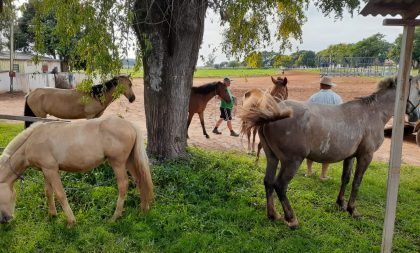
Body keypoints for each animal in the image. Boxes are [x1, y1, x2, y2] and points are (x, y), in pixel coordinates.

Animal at [0, 115, 153, 224]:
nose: (4, 220)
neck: (32, 141)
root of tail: (130, 124)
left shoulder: (51, 170)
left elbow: (60, 194)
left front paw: (71, 222)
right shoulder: (46, 170)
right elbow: (48, 192)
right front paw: (52, 215)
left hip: (118, 163)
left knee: (123, 185)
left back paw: (115, 217)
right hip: (129, 161)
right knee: (140, 180)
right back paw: (143, 209)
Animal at [241, 76, 418, 228]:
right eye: (419, 89)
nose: (416, 118)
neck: (373, 112)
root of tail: (272, 114)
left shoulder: (350, 156)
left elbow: (345, 178)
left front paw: (340, 204)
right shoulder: (365, 156)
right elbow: (357, 182)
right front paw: (352, 210)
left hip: (272, 158)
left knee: (268, 182)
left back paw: (273, 215)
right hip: (292, 161)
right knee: (280, 185)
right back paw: (291, 219)